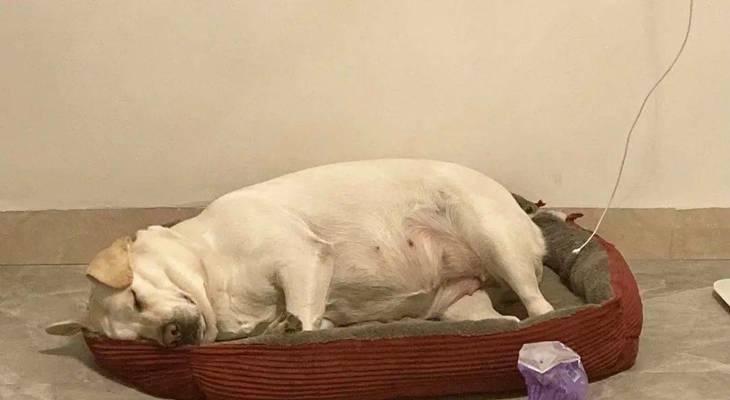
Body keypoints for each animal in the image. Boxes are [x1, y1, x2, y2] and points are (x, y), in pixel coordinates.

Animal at [46, 159, 554, 346]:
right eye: (139, 340)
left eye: (135, 297)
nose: (171, 336)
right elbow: (301, 319)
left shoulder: (301, 258)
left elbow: (304, 318)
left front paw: (298, 333)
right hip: (462, 306)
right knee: (503, 319)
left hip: (494, 238)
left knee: (541, 308)